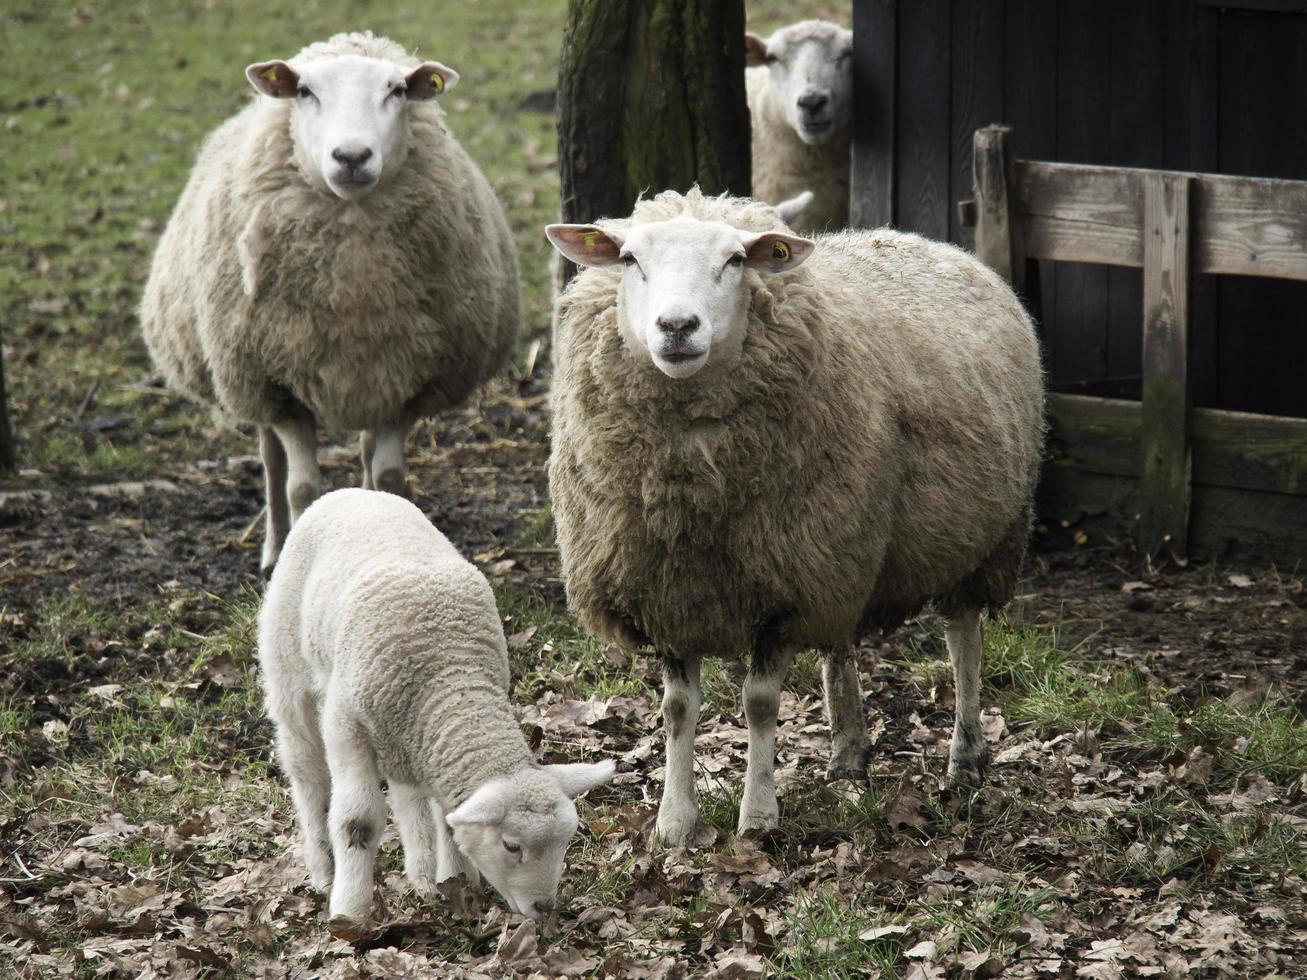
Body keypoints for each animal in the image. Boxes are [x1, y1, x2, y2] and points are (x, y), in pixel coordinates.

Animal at [137, 28, 514, 574]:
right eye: (305, 92)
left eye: (396, 91)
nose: (351, 157)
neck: (352, 286)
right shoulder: (276, 384)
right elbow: (302, 487)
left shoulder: (409, 377)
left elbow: (391, 476)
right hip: (248, 379)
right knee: (271, 461)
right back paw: (273, 548)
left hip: (371, 378)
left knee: (365, 450)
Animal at [262, 488, 619, 930]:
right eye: (511, 845)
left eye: (567, 841)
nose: (544, 908)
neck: (451, 672)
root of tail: (351, 492)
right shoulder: (348, 726)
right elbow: (357, 822)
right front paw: (350, 912)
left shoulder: (432, 734)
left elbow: (447, 819)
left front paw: (455, 883)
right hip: (290, 671)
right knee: (306, 772)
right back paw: (323, 868)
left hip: (402, 737)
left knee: (407, 796)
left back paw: (422, 873)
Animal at [546, 189, 1045, 846]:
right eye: (629, 259)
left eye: (736, 261)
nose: (677, 327)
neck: (692, 493)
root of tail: (923, 239)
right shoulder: (669, 590)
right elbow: (677, 711)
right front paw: (675, 824)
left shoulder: (784, 588)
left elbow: (759, 703)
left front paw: (757, 816)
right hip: (843, 545)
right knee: (842, 641)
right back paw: (849, 753)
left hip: (977, 537)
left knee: (963, 640)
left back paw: (964, 759)